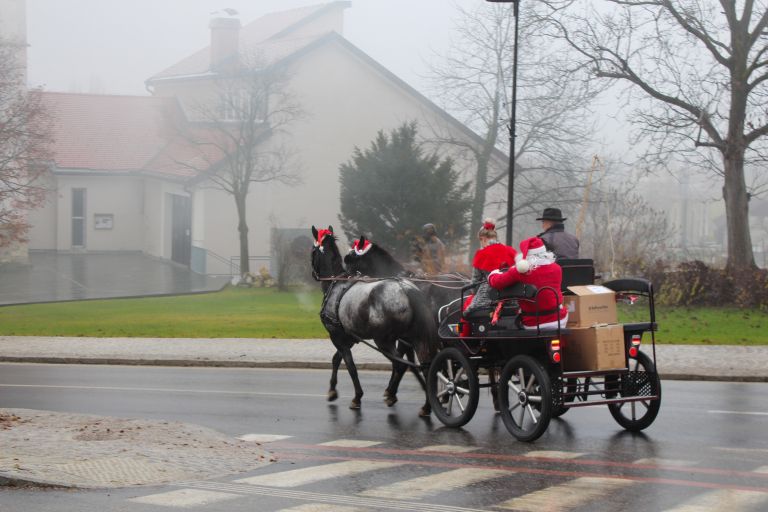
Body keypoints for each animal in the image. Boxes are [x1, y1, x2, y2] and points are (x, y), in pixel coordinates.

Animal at [308, 226, 438, 414]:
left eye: (312, 251)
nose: (313, 273)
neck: (336, 282)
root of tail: (406, 290)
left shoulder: (337, 336)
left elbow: (350, 366)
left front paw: (357, 397)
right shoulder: (348, 338)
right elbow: (336, 359)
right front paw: (332, 390)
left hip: (384, 340)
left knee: (400, 365)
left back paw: (393, 394)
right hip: (416, 338)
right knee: (426, 367)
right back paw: (427, 405)